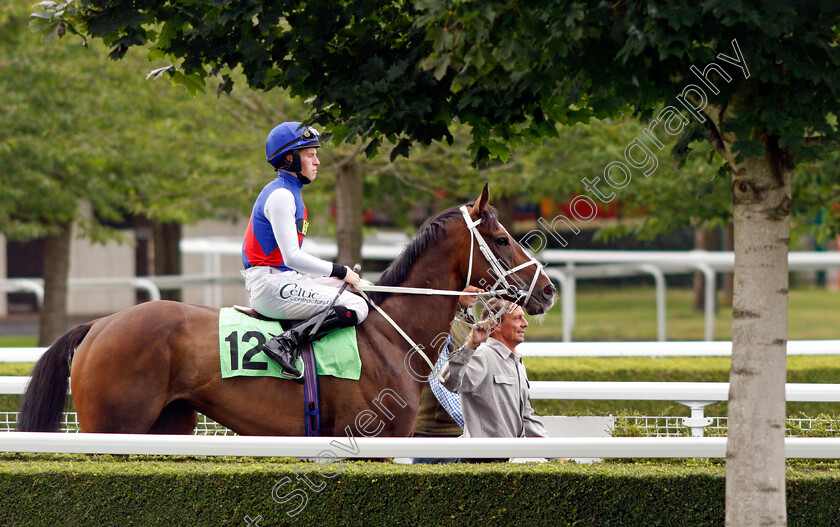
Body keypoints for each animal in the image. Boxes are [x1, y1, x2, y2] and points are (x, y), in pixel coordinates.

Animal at [16, 186, 556, 438]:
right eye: (502, 238)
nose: (548, 291)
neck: (388, 336)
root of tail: (98, 324)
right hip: (113, 426)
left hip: (169, 424)